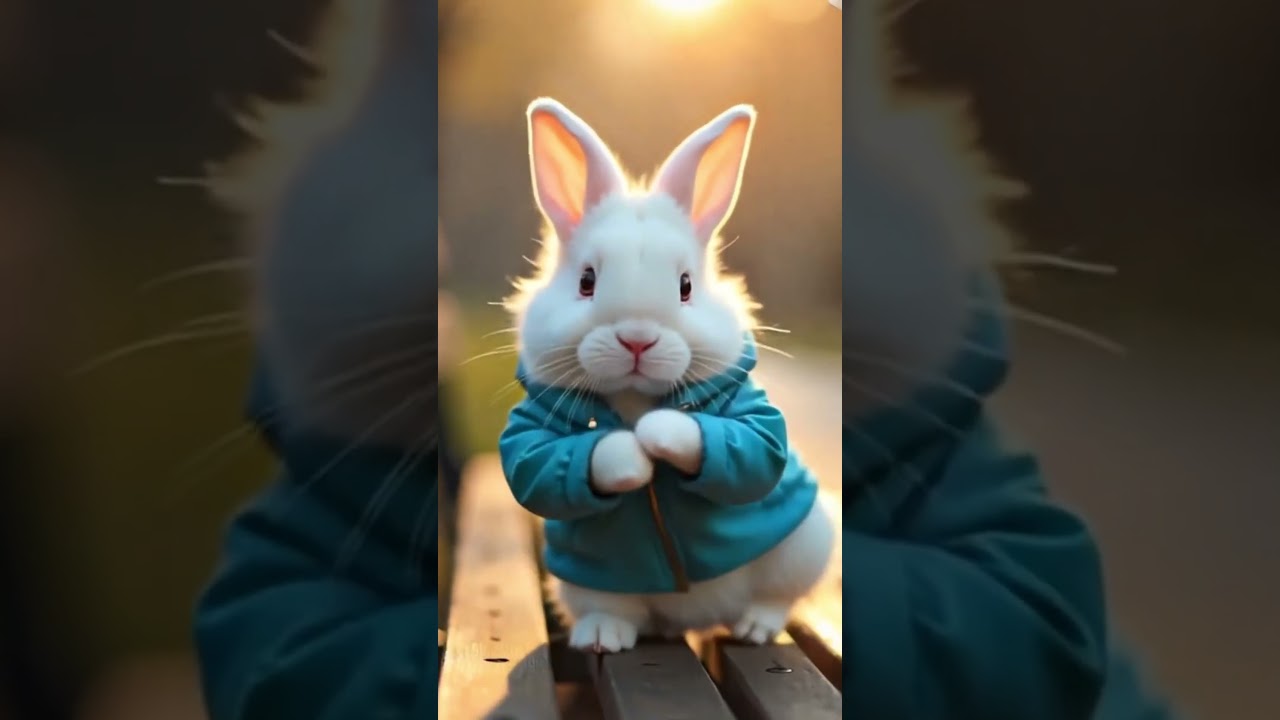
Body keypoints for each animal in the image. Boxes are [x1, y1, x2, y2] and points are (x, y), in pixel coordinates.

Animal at [499, 98, 835, 652]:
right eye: (586, 281)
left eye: (685, 286)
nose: (637, 339)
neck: (634, 397)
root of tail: (694, 619)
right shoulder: (528, 435)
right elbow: (540, 466)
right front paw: (630, 455)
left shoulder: (754, 419)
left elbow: (752, 446)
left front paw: (653, 433)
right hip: (585, 584)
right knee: (614, 609)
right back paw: (603, 636)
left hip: (802, 546)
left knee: (777, 596)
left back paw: (755, 628)